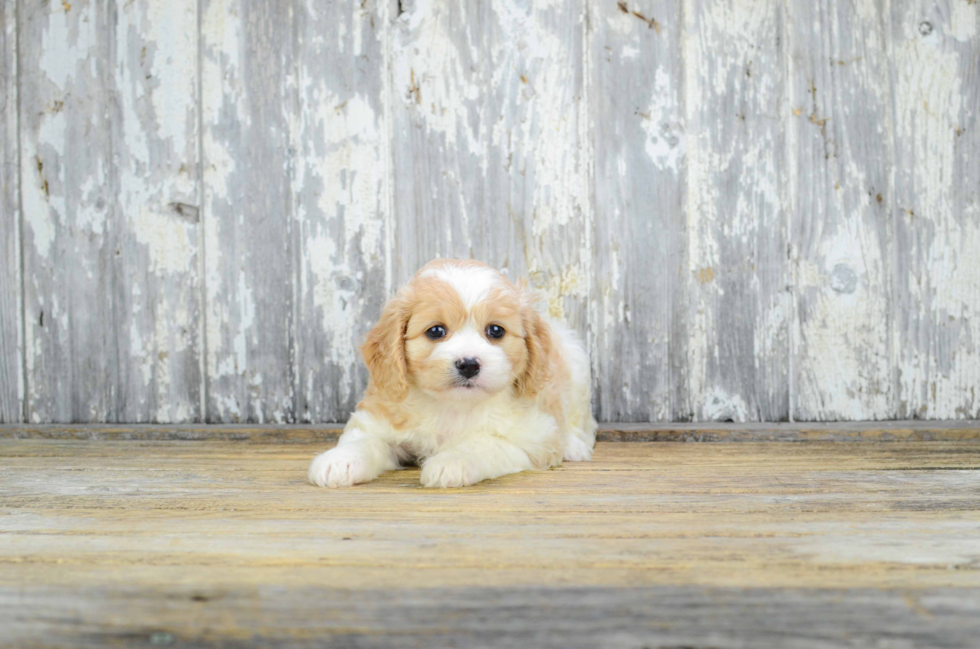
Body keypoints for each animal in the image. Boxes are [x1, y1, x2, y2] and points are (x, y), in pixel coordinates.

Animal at [308, 258, 596, 486]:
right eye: (436, 331)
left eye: (496, 330)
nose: (468, 364)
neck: (453, 406)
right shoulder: (380, 418)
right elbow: (365, 440)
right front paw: (339, 461)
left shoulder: (532, 440)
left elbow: (484, 443)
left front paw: (452, 462)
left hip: (577, 367)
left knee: (581, 420)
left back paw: (574, 446)